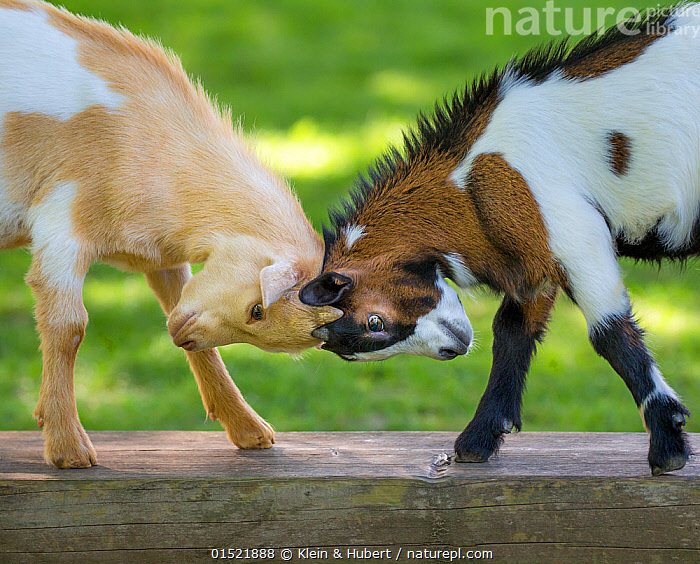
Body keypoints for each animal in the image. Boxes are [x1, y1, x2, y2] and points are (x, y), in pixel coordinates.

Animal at [0, 0, 341, 468]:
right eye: (257, 310)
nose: (184, 338)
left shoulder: (165, 260)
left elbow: (184, 317)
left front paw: (250, 431)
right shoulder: (61, 223)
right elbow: (68, 327)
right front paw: (69, 448)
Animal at [300, 6, 698, 475]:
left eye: (374, 323)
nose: (450, 350)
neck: (472, 179)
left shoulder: (576, 236)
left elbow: (610, 334)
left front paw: (669, 446)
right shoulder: (533, 259)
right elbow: (512, 331)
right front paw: (480, 439)